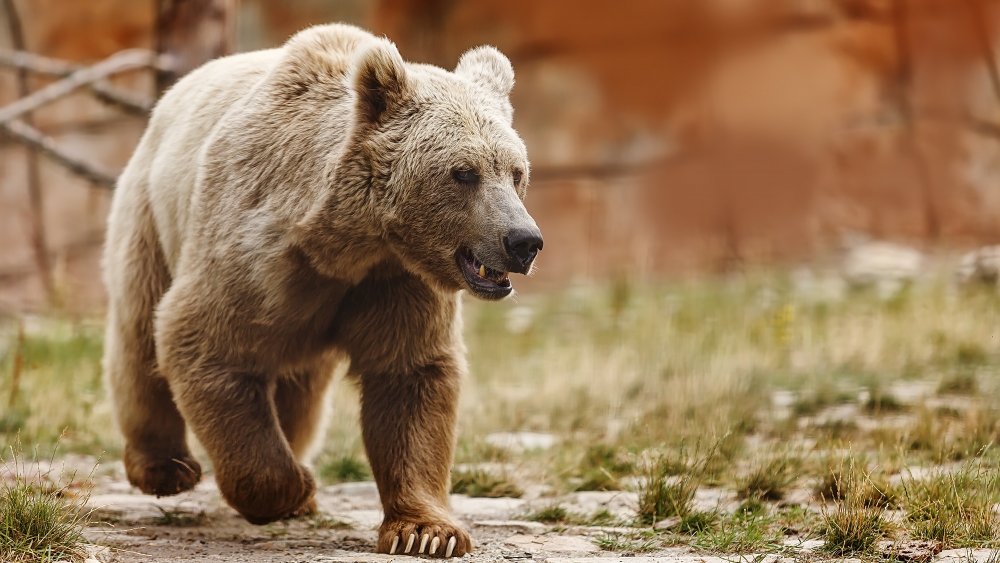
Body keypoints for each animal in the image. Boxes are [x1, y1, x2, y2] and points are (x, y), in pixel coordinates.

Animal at [100, 23, 540, 560]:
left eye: (516, 171)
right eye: (464, 172)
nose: (523, 241)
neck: (345, 243)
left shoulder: (395, 281)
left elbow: (410, 378)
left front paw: (427, 531)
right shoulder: (251, 252)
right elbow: (202, 339)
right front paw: (291, 487)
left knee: (300, 390)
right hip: (150, 218)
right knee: (139, 338)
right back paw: (166, 467)